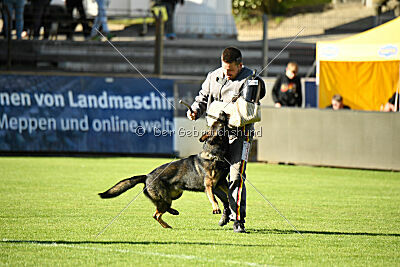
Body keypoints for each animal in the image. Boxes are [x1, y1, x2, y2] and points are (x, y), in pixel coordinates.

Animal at [99, 112, 230, 229]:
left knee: (159, 211)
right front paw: (216, 207)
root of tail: (147, 176)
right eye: (219, 124)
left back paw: (171, 215)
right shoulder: (209, 185)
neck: (214, 154)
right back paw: (168, 223)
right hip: (166, 198)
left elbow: (229, 193)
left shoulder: (221, 183)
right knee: (156, 214)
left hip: (175, 195)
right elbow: (213, 198)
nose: (222, 112)